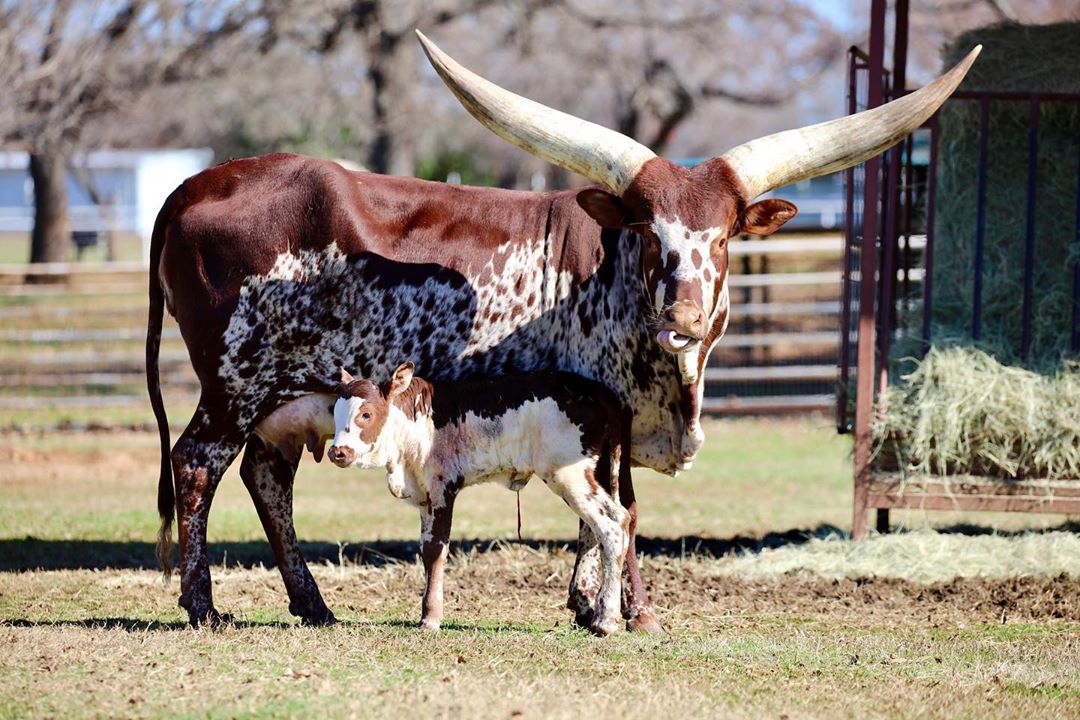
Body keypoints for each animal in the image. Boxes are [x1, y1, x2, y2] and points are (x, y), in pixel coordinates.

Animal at [328, 367, 630, 634]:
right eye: (335, 414)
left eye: (366, 414)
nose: (337, 452)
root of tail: (600, 392)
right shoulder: (425, 497)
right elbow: (426, 550)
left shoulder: (442, 488)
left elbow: (435, 552)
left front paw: (431, 619)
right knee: (602, 526)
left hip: (567, 474)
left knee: (612, 525)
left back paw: (605, 620)